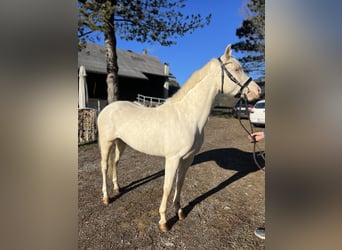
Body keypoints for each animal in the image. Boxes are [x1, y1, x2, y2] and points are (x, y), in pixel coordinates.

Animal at [97, 44, 262, 231]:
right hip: (106, 143)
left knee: (115, 163)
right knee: (104, 166)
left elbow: (180, 183)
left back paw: (117, 188)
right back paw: (106, 197)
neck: (187, 116)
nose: (257, 91)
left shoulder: (187, 158)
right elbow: (168, 187)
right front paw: (163, 221)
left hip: (121, 143)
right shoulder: (173, 158)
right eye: (236, 69)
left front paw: (180, 211)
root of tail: (108, 108)